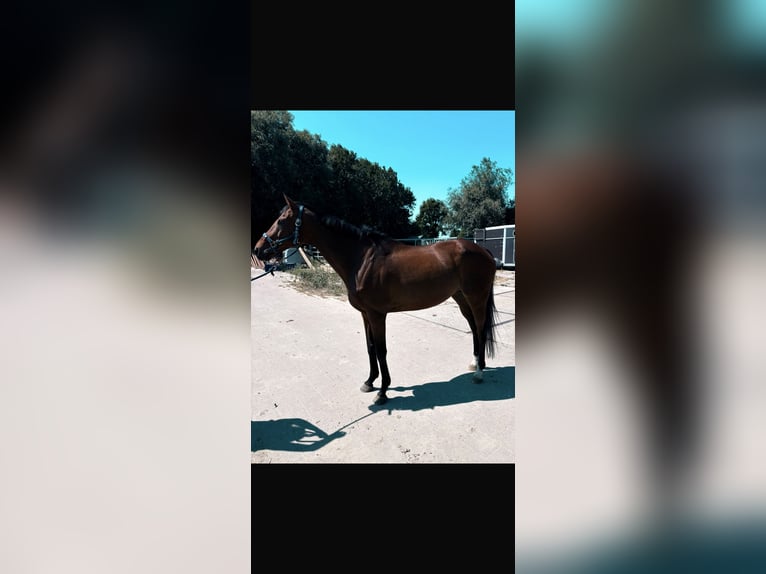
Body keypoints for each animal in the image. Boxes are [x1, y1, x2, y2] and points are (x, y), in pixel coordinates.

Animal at [253, 194, 500, 405]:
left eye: (282, 220)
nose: (258, 249)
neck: (362, 260)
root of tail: (483, 251)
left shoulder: (377, 314)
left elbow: (381, 350)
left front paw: (382, 392)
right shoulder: (365, 314)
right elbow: (370, 348)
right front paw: (369, 382)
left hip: (476, 298)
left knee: (480, 327)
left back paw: (479, 373)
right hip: (461, 298)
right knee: (474, 328)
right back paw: (476, 363)